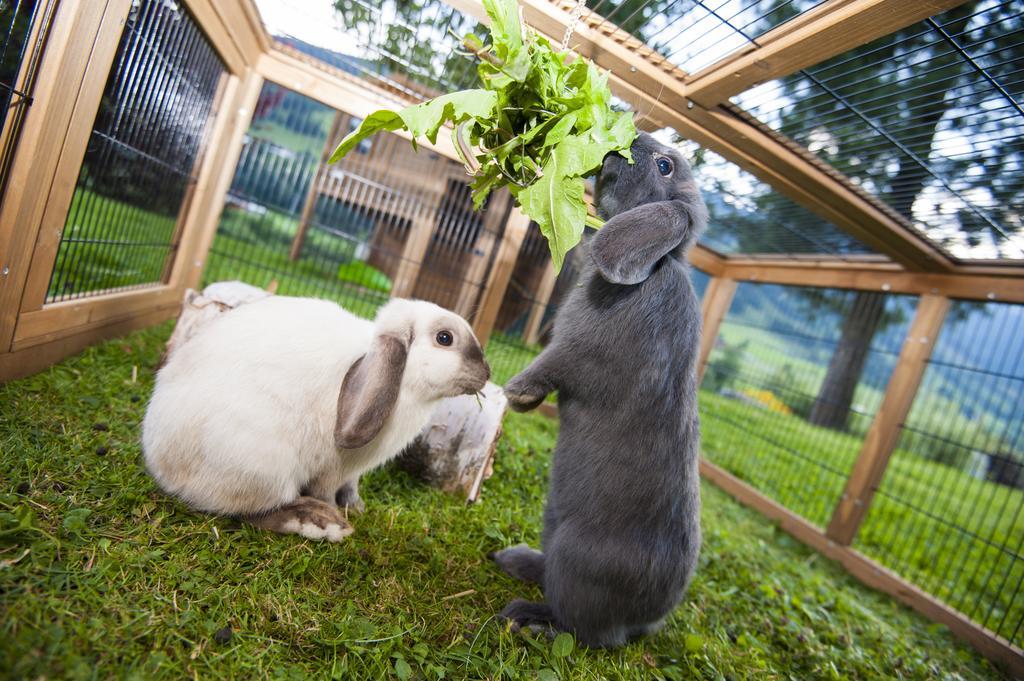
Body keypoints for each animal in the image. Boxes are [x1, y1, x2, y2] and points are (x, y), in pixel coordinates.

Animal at [142, 294, 489, 540]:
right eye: (444, 338)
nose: (487, 373)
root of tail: (161, 465)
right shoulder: (332, 468)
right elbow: (326, 490)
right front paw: (339, 511)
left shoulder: (352, 473)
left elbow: (351, 487)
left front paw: (357, 507)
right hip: (262, 467)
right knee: (247, 511)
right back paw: (320, 521)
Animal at [493, 130, 704, 647]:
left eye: (665, 166)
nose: (622, 141)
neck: (656, 269)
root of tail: (645, 620)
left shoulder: (575, 353)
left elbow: (551, 367)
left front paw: (515, 394)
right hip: (552, 525)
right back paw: (513, 558)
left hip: (576, 559)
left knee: (583, 629)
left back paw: (528, 617)